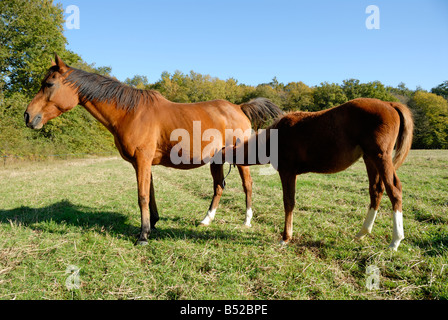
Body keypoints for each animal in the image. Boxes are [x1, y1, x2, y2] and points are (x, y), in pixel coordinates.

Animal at [24, 54, 282, 245]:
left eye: (49, 84)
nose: (28, 116)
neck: (130, 112)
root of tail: (239, 107)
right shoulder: (143, 163)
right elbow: (151, 193)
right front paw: (153, 224)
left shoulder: (142, 160)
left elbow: (142, 196)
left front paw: (143, 235)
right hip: (217, 160)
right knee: (218, 187)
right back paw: (206, 220)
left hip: (241, 160)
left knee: (247, 186)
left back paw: (247, 220)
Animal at [222, 97, 414, 250]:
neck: (275, 137)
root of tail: (389, 104)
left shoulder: (287, 172)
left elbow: (288, 202)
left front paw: (285, 238)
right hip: (369, 159)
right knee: (376, 190)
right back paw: (362, 232)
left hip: (381, 157)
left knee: (394, 190)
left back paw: (395, 241)